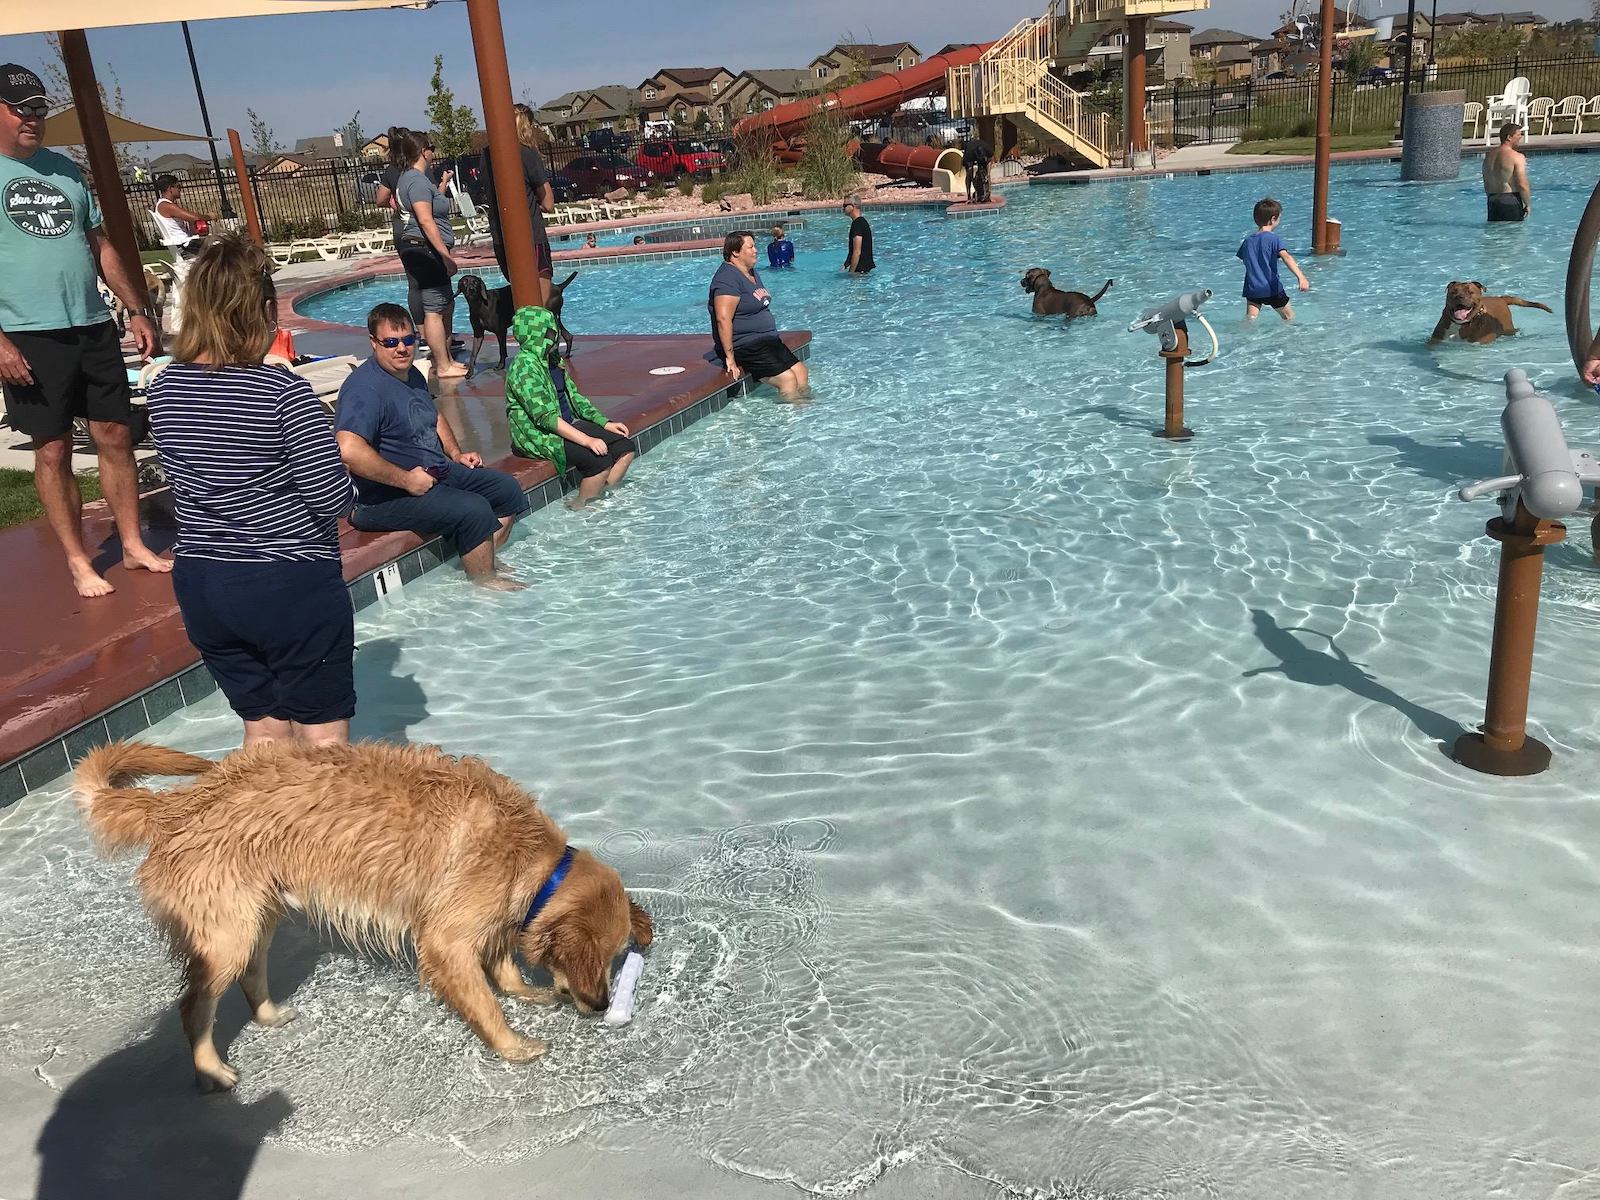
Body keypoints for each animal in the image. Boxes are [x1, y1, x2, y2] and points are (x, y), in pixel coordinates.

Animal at [75, 739, 649, 1094]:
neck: (531, 859)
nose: (602, 1006)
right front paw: (514, 1045)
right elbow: (486, 1003)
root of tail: (177, 804)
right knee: (195, 1007)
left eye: (616, 958)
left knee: (252, 975)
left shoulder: (492, 916)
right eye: (601, 958)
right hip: (225, 934)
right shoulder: (446, 938)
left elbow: (503, 964)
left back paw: (269, 1015)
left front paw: (525, 991)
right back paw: (211, 1071)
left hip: (255, 916)